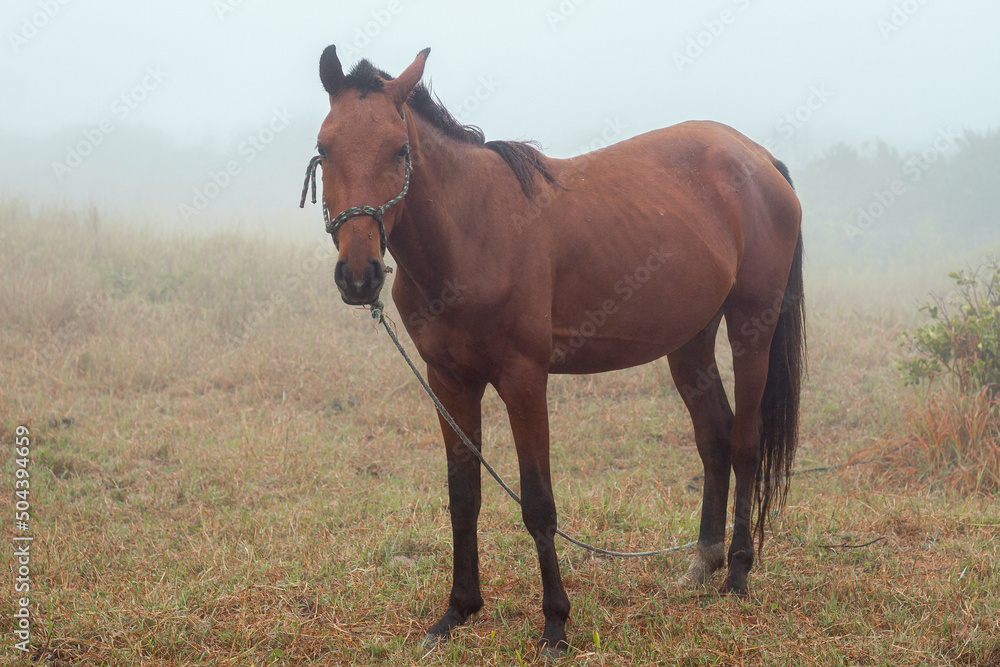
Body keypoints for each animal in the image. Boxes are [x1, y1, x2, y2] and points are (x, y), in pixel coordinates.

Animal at [302, 47, 804, 656]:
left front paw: (556, 624)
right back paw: (701, 565)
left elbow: (538, 505)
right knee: (715, 439)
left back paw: (737, 571)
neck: (472, 232)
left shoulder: (524, 379)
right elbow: (463, 496)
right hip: (690, 340)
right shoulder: (449, 381)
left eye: (399, 150)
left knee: (747, 441)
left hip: (751, 324)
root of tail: (760, 159)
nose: (359, 276)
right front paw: (456, 612)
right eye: (325, 148)